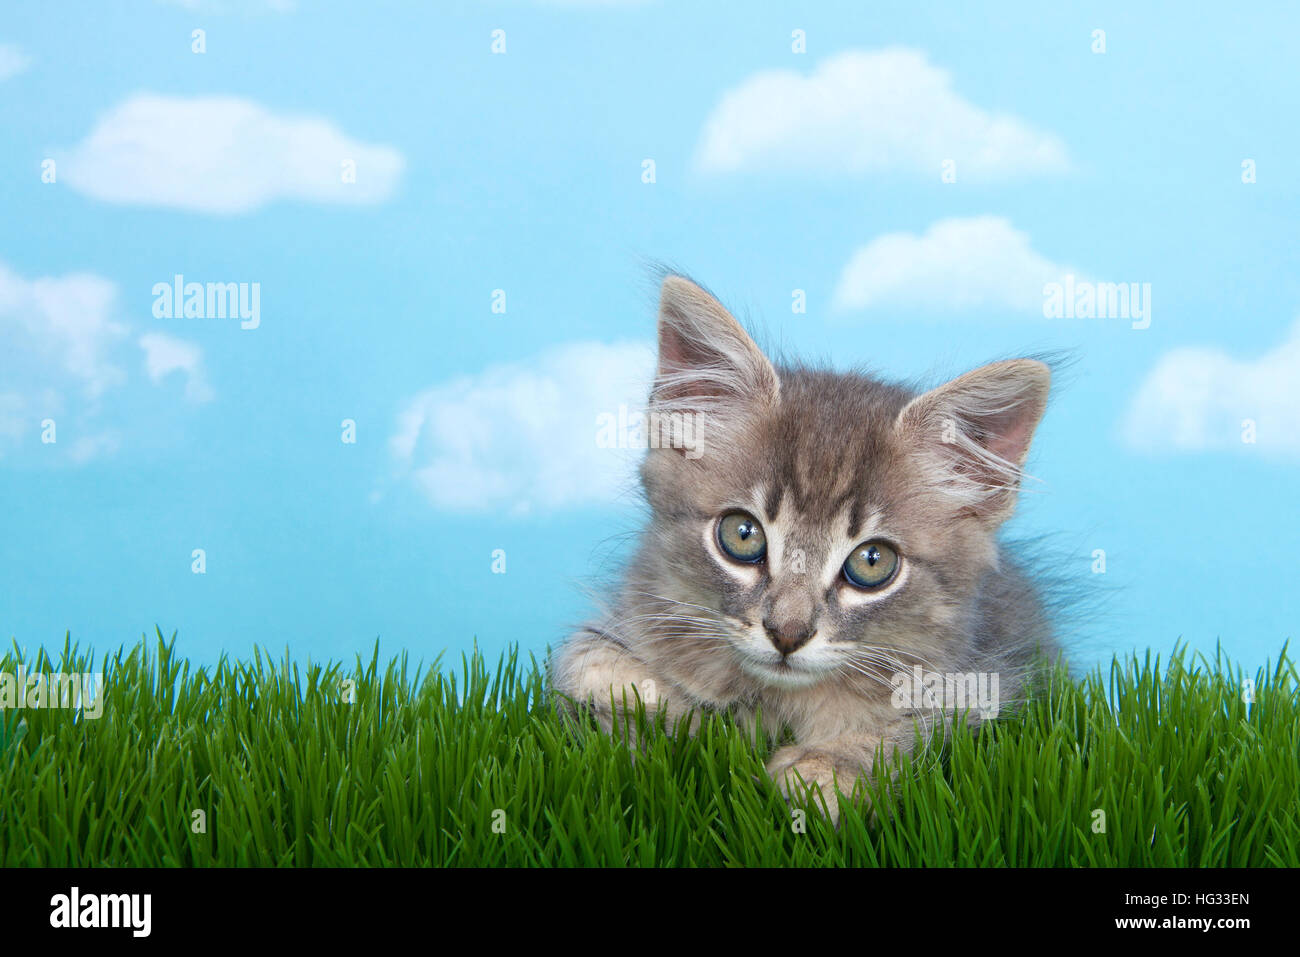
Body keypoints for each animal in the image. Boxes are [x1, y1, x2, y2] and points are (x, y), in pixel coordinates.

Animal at [548, 273, 1055, 816]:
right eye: (742, 534)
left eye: (872, 561)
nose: (787, 634)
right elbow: (588, 664)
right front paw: (652, 695)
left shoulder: (987, 679)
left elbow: (919, 729)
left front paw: (827, 768)